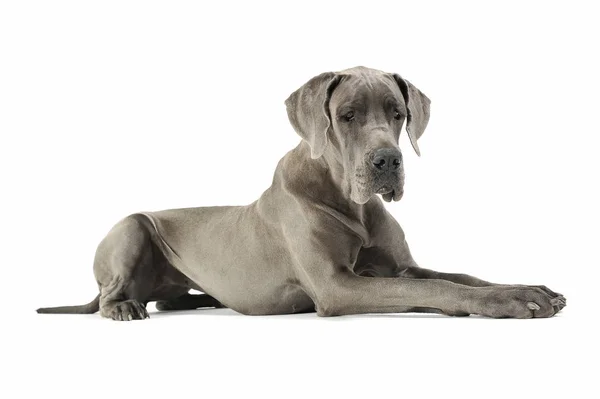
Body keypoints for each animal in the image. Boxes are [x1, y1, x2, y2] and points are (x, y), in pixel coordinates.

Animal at [37, 66, 568, 322]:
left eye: (397, 113)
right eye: (348, 115)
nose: (387, 161)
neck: (349, 201)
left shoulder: (399, 267)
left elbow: (462, 276)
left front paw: (529, 289)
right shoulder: (337, 286)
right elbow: (433, 290)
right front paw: (510, 302)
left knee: (167, 299)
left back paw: (198, 301)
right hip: (131, 227)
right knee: (111, 294)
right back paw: (123, 307)